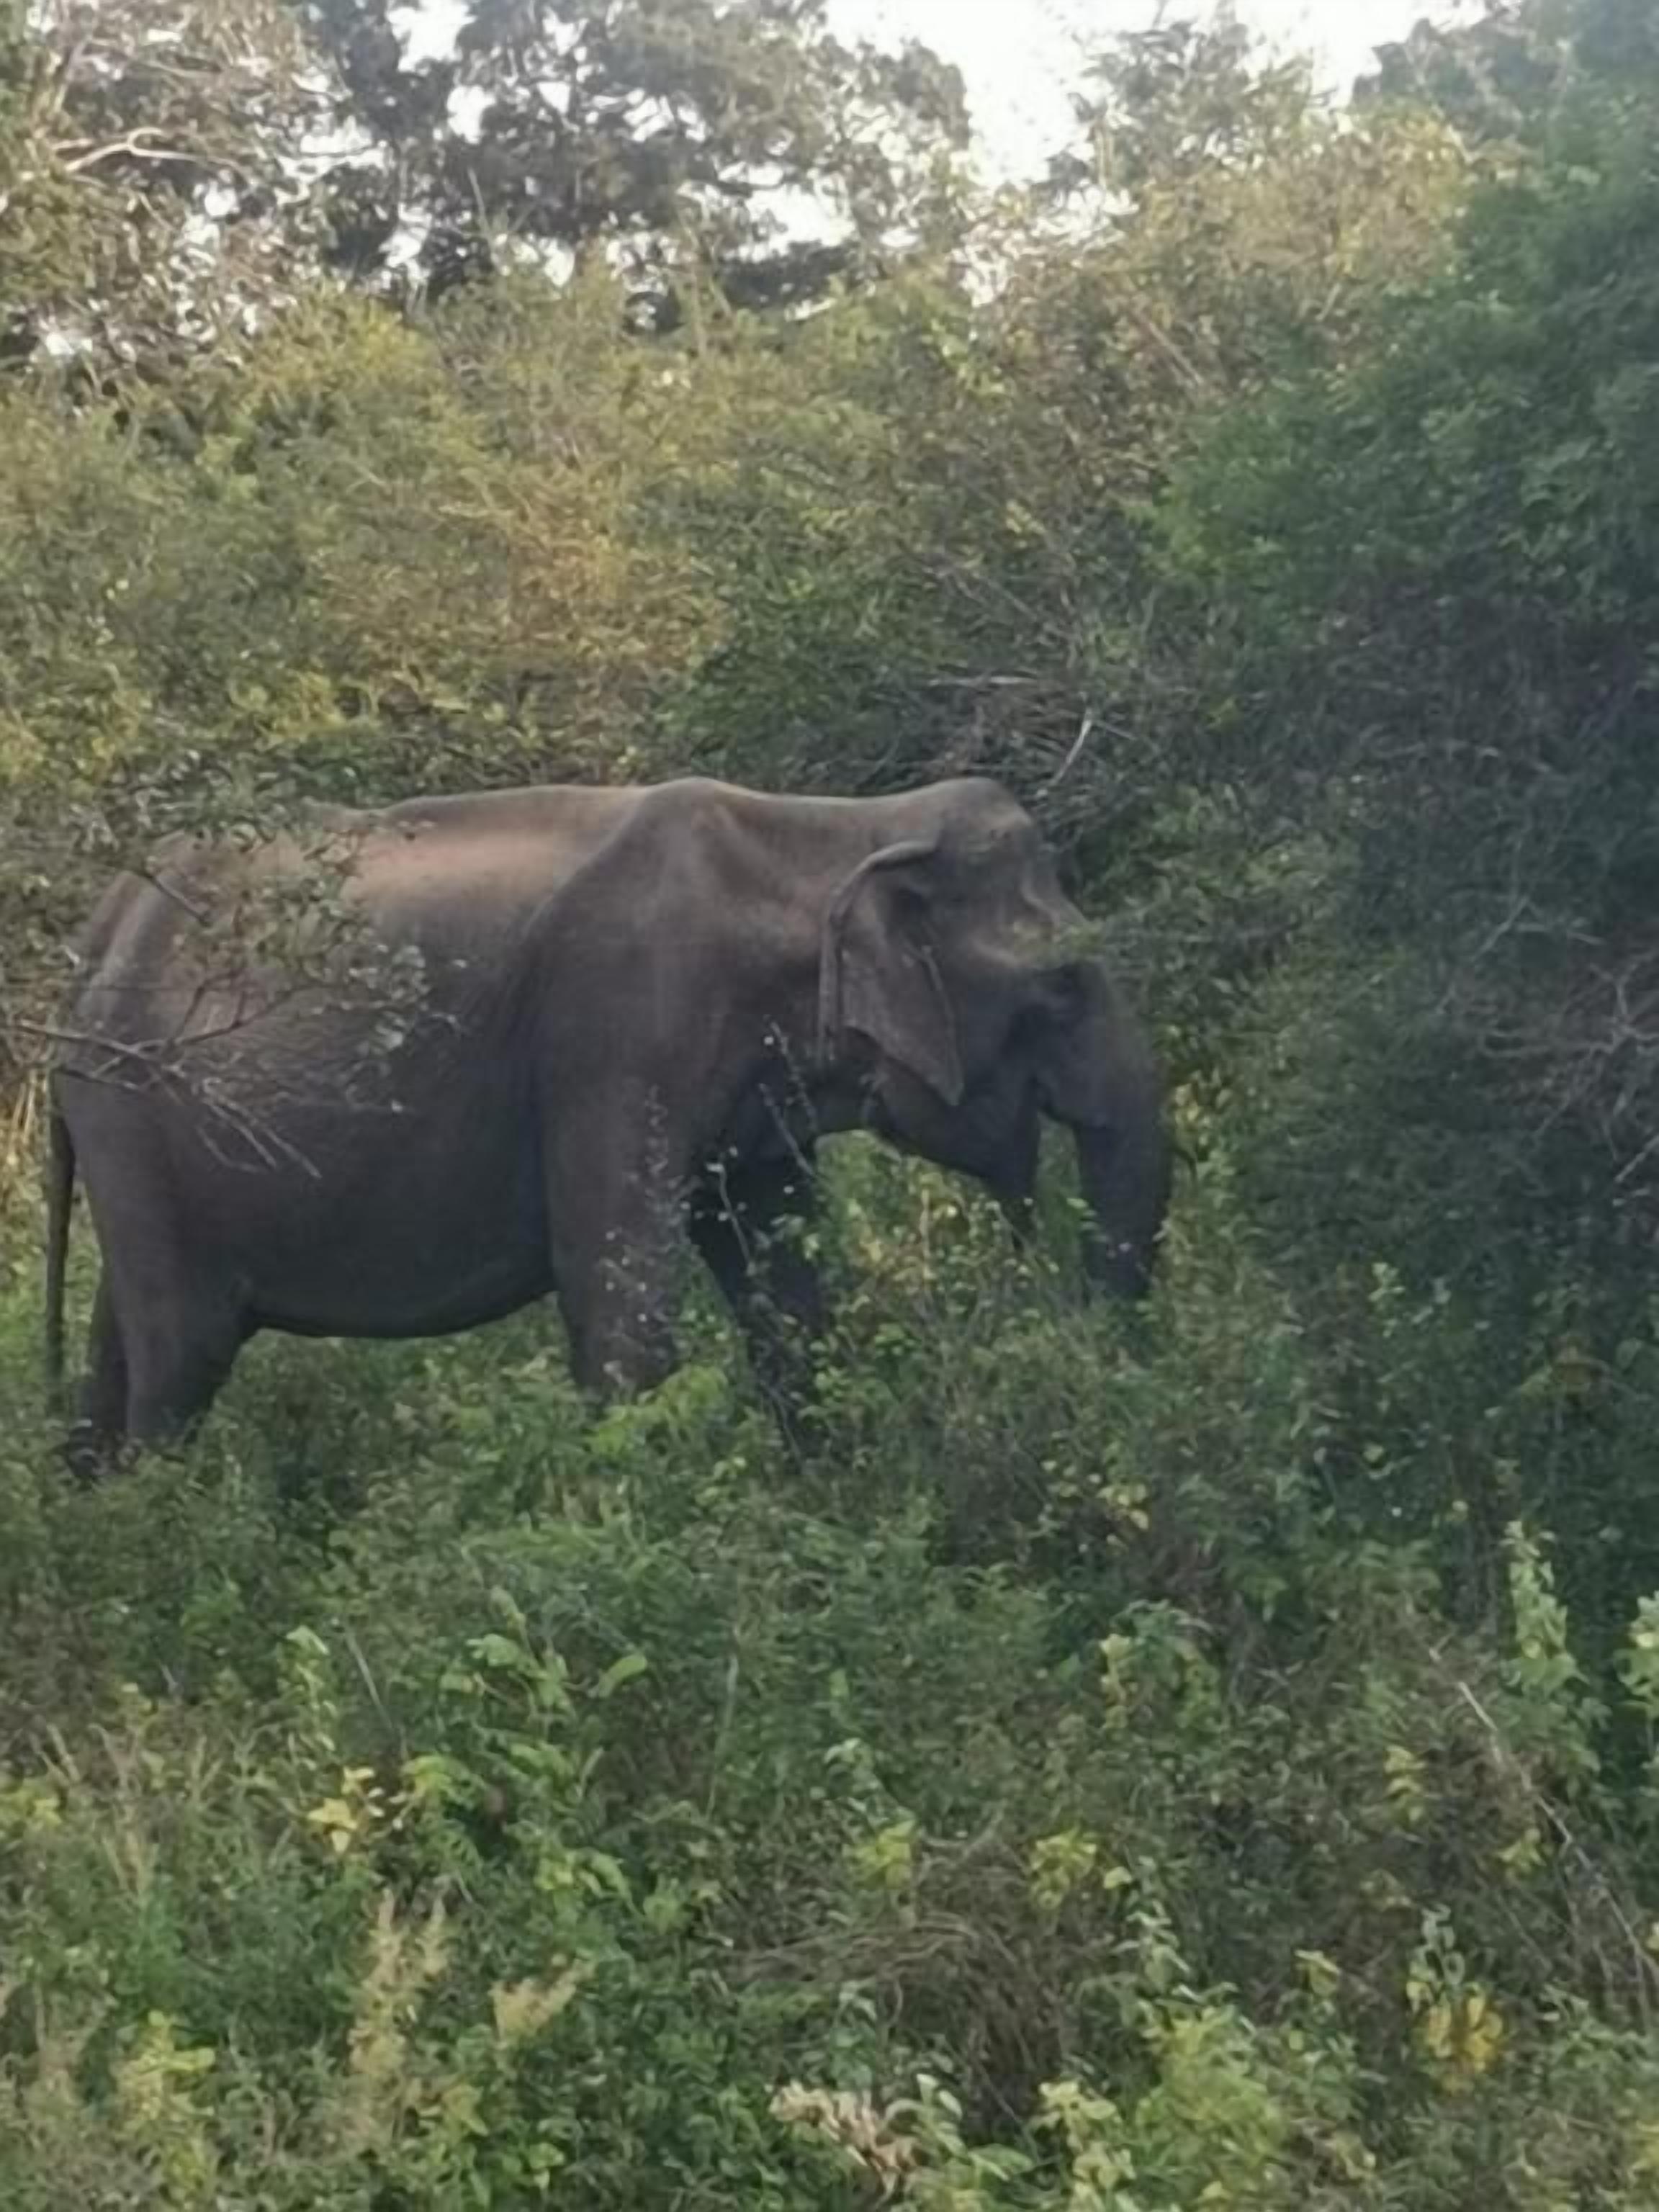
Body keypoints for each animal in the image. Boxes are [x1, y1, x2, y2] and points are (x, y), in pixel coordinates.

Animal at [44, 774, 1169, 1466]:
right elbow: (617, 1299)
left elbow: (786, 1291)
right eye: (1064, 984)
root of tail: (96, 934)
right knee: (180, 1359)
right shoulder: (614, 1034)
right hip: (132, 1115)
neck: (830, 831)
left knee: (118, 1356)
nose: (1060, 1323)